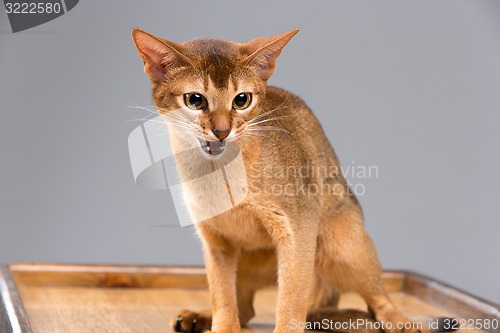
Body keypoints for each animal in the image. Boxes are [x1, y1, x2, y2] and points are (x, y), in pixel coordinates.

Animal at [132, 27, 430, 332]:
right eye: (195, 100)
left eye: (242, 100)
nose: (222, 131)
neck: (219, 172)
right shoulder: (215, 239)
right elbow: (222, 296)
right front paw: (222, 326)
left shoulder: (298, 227)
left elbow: (291, 297)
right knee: (245, 307)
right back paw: (197, 317)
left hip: (344, 245)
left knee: (379, 299)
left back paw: (403, 324)